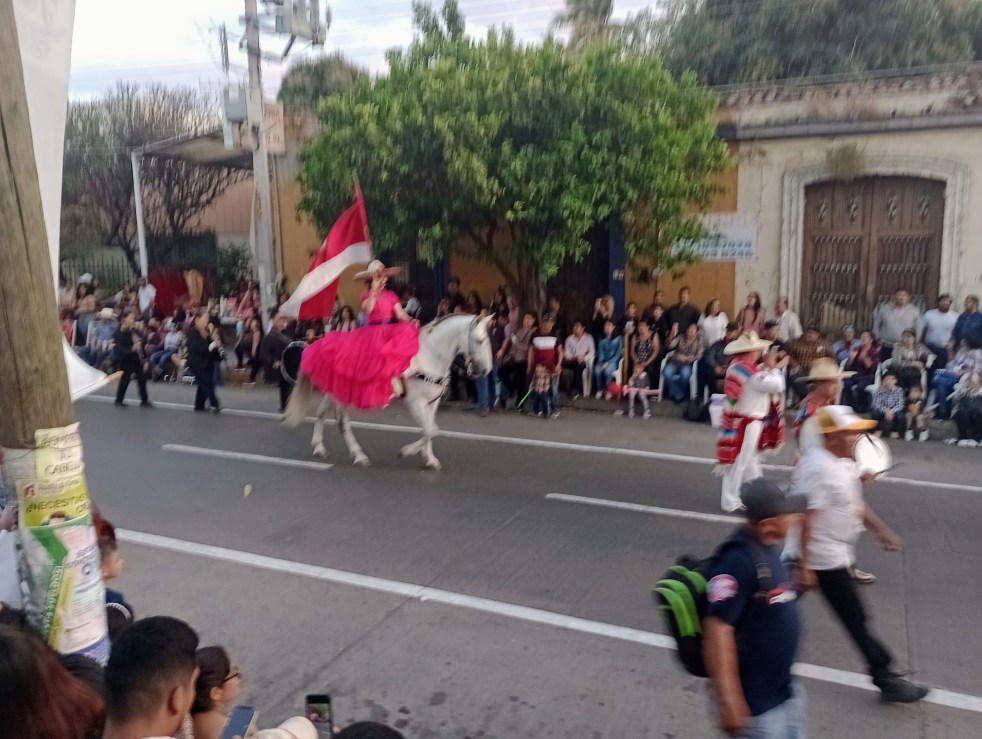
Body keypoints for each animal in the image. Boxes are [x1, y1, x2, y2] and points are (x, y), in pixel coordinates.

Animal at [282, 314, 495, 470]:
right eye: (480, 340)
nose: (486, 371)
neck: (429, 357)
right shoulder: (415, 403)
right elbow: (431, 429)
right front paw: (407, 451)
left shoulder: (432, 403)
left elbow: (431, 429)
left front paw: (429, 458)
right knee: (342, 422)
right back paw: (359, 455)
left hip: (335, 391)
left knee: (322, 414)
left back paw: (319, 447)